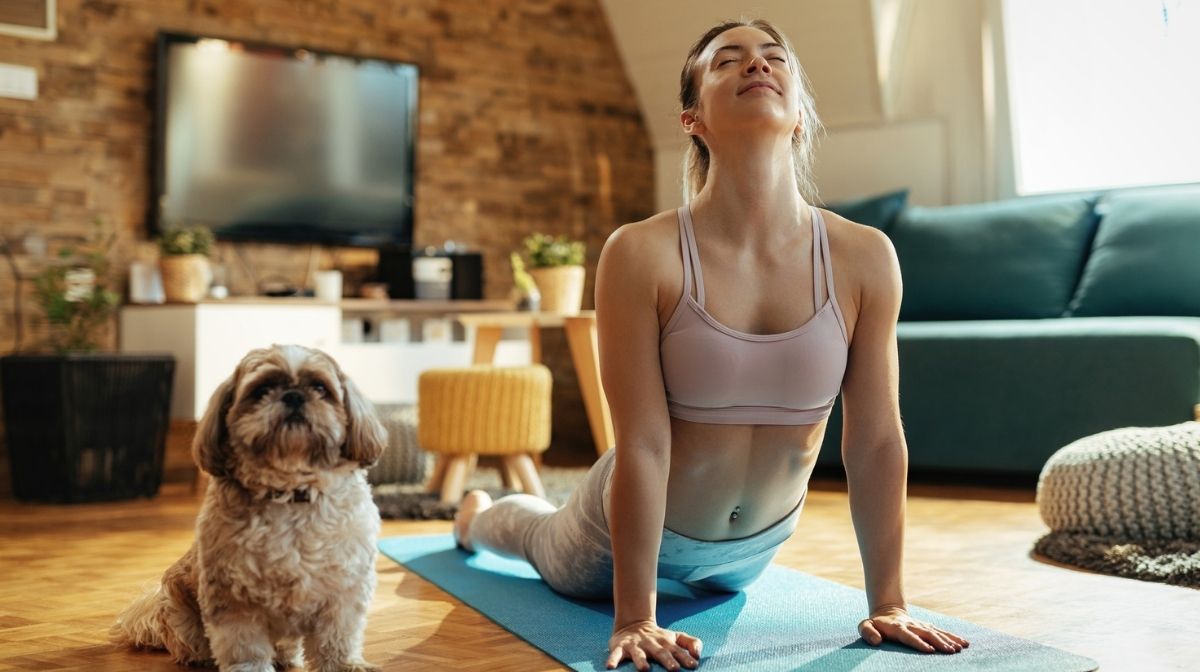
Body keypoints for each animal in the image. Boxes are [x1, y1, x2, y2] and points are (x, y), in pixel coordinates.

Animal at [111, 345, 384, 672]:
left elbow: (337, 638)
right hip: (181, 613)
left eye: (320, 388)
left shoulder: (343, 592)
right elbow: (245, 647)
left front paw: (344, 664)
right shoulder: (233, 599)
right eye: (262, 390)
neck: (290, 492)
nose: (294, 395)